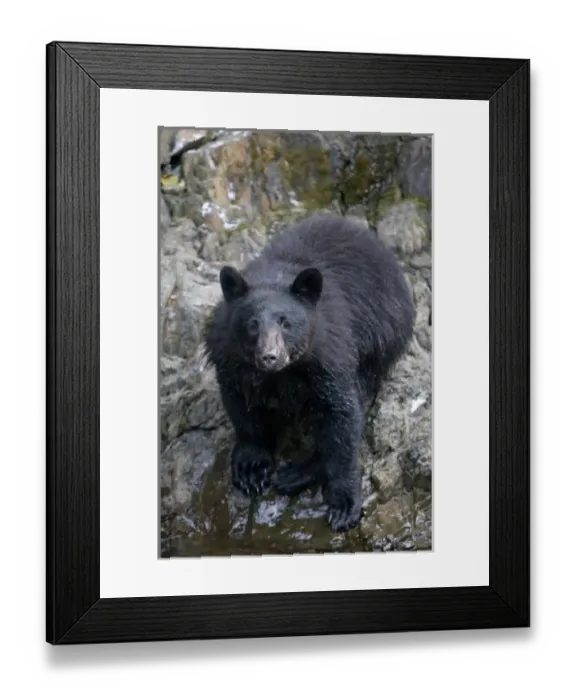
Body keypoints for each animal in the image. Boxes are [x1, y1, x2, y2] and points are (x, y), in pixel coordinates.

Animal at [204, 213, 415, 533]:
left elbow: (342, 414)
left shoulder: (331, 353)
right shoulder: (228, 356)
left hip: (381, 338)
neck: (282, 374)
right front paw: (251, 467)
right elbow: (240, 404)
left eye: (285, 322)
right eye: (252, 323)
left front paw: (344, 506)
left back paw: (296, 474)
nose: (270, 357)